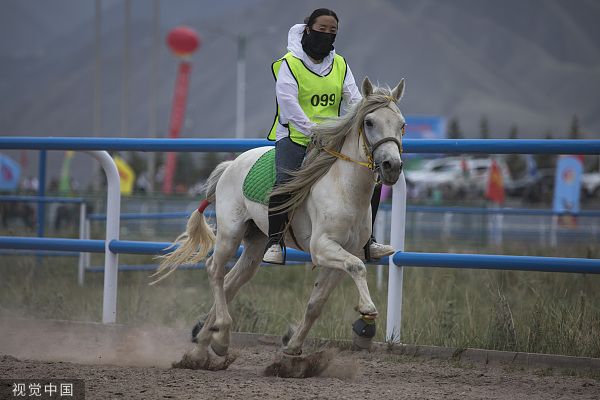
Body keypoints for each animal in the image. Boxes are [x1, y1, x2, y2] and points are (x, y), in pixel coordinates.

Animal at [153, 77, 406, 376]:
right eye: (369, 122)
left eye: (402, 124)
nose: (392, 166)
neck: (344, 188)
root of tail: (231, 165)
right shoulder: (322, 247)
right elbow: (357, 267)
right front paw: (367, 312)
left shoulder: (345, 252)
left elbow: (316, 303)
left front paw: (292, 348)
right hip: (230, 234)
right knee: (215, 271)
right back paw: (221, 336)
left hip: (255, 244)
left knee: (231, 282)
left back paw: (205, 345)